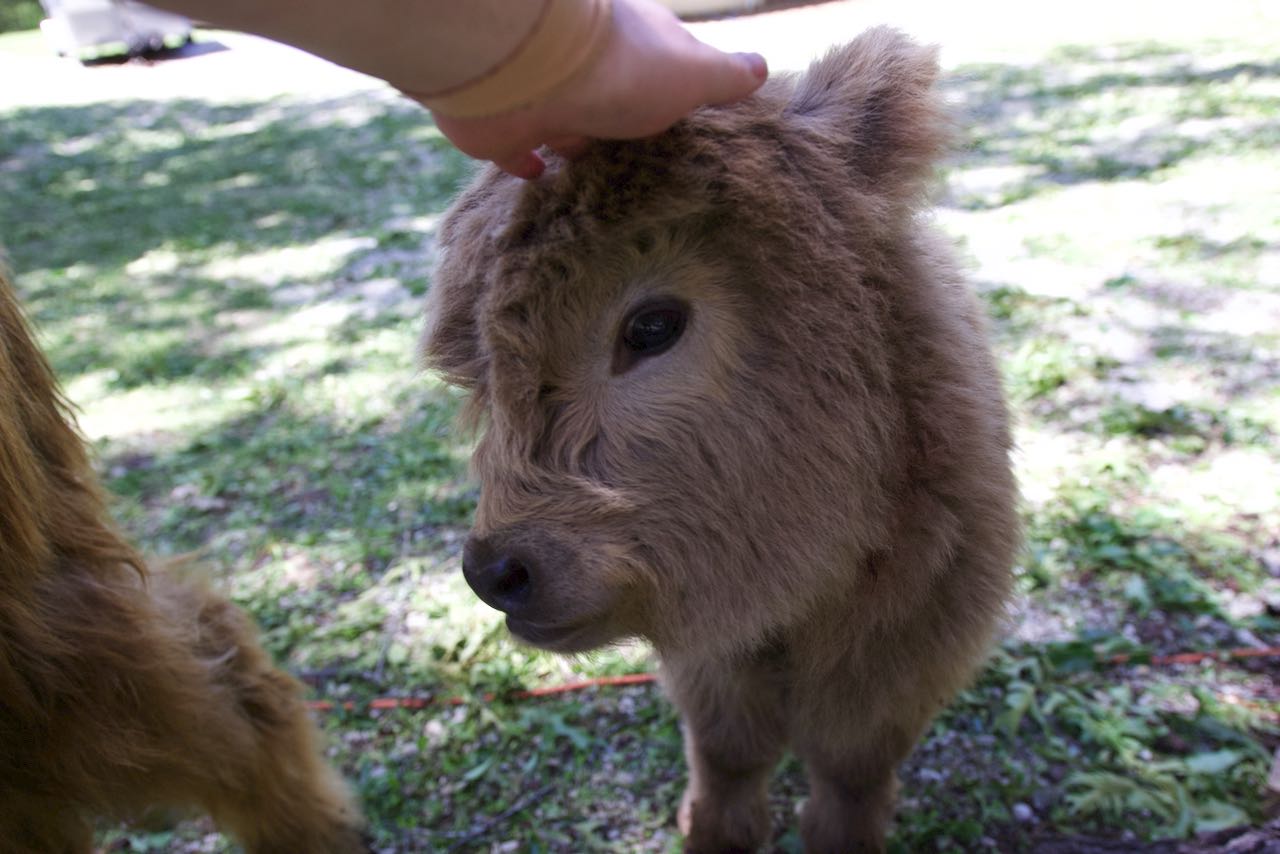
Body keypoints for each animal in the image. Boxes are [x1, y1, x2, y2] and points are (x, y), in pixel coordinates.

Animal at [424, 26, 1013, 854]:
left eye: (651, 327)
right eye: (482, 369)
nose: (496, 571)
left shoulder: (904, 649)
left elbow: (850, 775)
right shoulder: (714, 666)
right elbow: (729, 760)